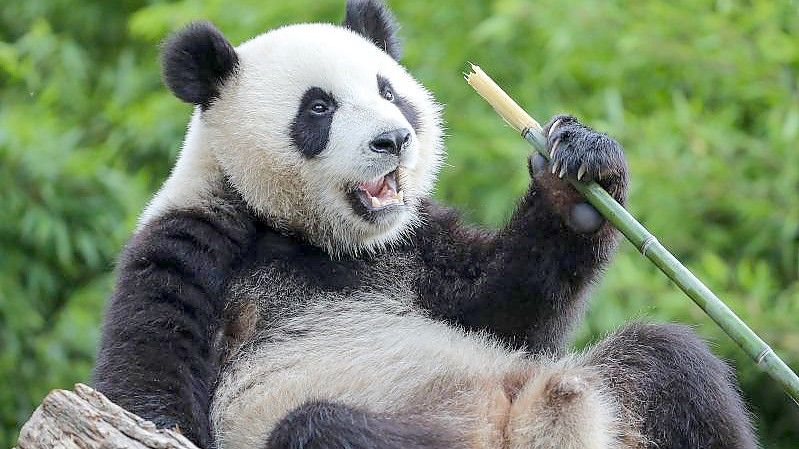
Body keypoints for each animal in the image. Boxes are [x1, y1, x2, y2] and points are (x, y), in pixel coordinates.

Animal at [92, 0, 756, 448]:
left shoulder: (414, 246)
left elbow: (509, 311)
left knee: (671, 366)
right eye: (319, 108)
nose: (393, 140)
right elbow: (146, 380)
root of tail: (534, 423)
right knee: (322, 430)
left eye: (389, 92)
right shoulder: (194, 241)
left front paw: (575, 175)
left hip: (613, 392)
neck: (318, 240)